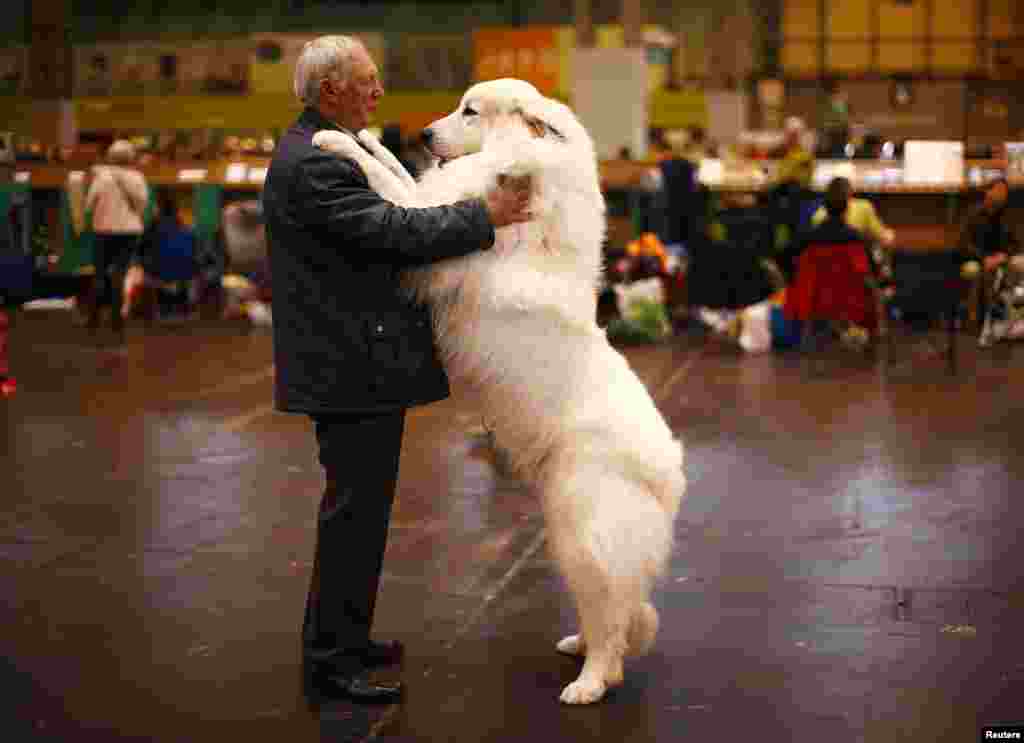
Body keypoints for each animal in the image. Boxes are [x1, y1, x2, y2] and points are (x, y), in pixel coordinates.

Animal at [307, 78, 684, 708]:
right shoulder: (439, 204)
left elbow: (392, 187)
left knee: (611, 619)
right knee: (608, 610)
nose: (423, 134)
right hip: (570, 536)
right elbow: (400, 174)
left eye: (470, 111)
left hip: (584, 535)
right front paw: (367, 138)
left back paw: (589, 683)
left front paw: (335, 140)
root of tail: (670, 478)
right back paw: (580, 649)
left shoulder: (434, 228)